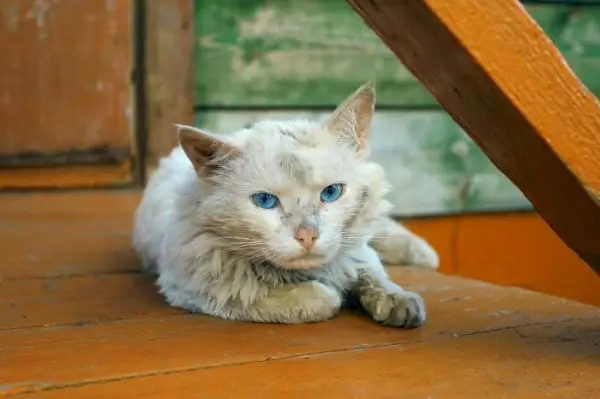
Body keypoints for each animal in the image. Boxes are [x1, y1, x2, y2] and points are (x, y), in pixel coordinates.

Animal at [134, 82, 438, 328]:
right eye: (265, 201)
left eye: (331, 192)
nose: (307, 236)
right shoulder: (200, 287)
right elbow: (314, 296)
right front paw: (334, 294)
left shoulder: (358, 256)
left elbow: (373, 276)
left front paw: (399, 302)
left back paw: (425, 256)